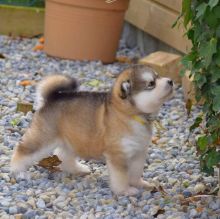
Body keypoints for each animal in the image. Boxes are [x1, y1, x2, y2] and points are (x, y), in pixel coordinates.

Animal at [10, 64, 174, 195]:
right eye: (151, 83)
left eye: (158, 76)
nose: (171, 81)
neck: (130, 114)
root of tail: (52, 97)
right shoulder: (118, 156)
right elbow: (121, 177)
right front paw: (125, 191)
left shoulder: (138, 153)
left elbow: (135, 172)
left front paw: (140, 184)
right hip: (43, 137)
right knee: (23, 150)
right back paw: (19, 171)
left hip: (71, 139)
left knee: (63, 155)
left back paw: (78, 169)